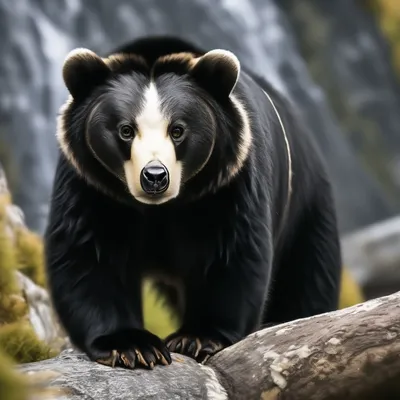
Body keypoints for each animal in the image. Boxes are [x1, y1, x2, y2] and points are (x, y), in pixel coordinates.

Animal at [45, 36, 342, 370]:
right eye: (126, 130)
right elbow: (89, 254)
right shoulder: (92, 185)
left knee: (307, 277)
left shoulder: (226, 183)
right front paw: (130, 345)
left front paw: (197, 337)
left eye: (177, 130)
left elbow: (232, 253)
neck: (159, 209)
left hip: (307, 206)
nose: (155, 177)